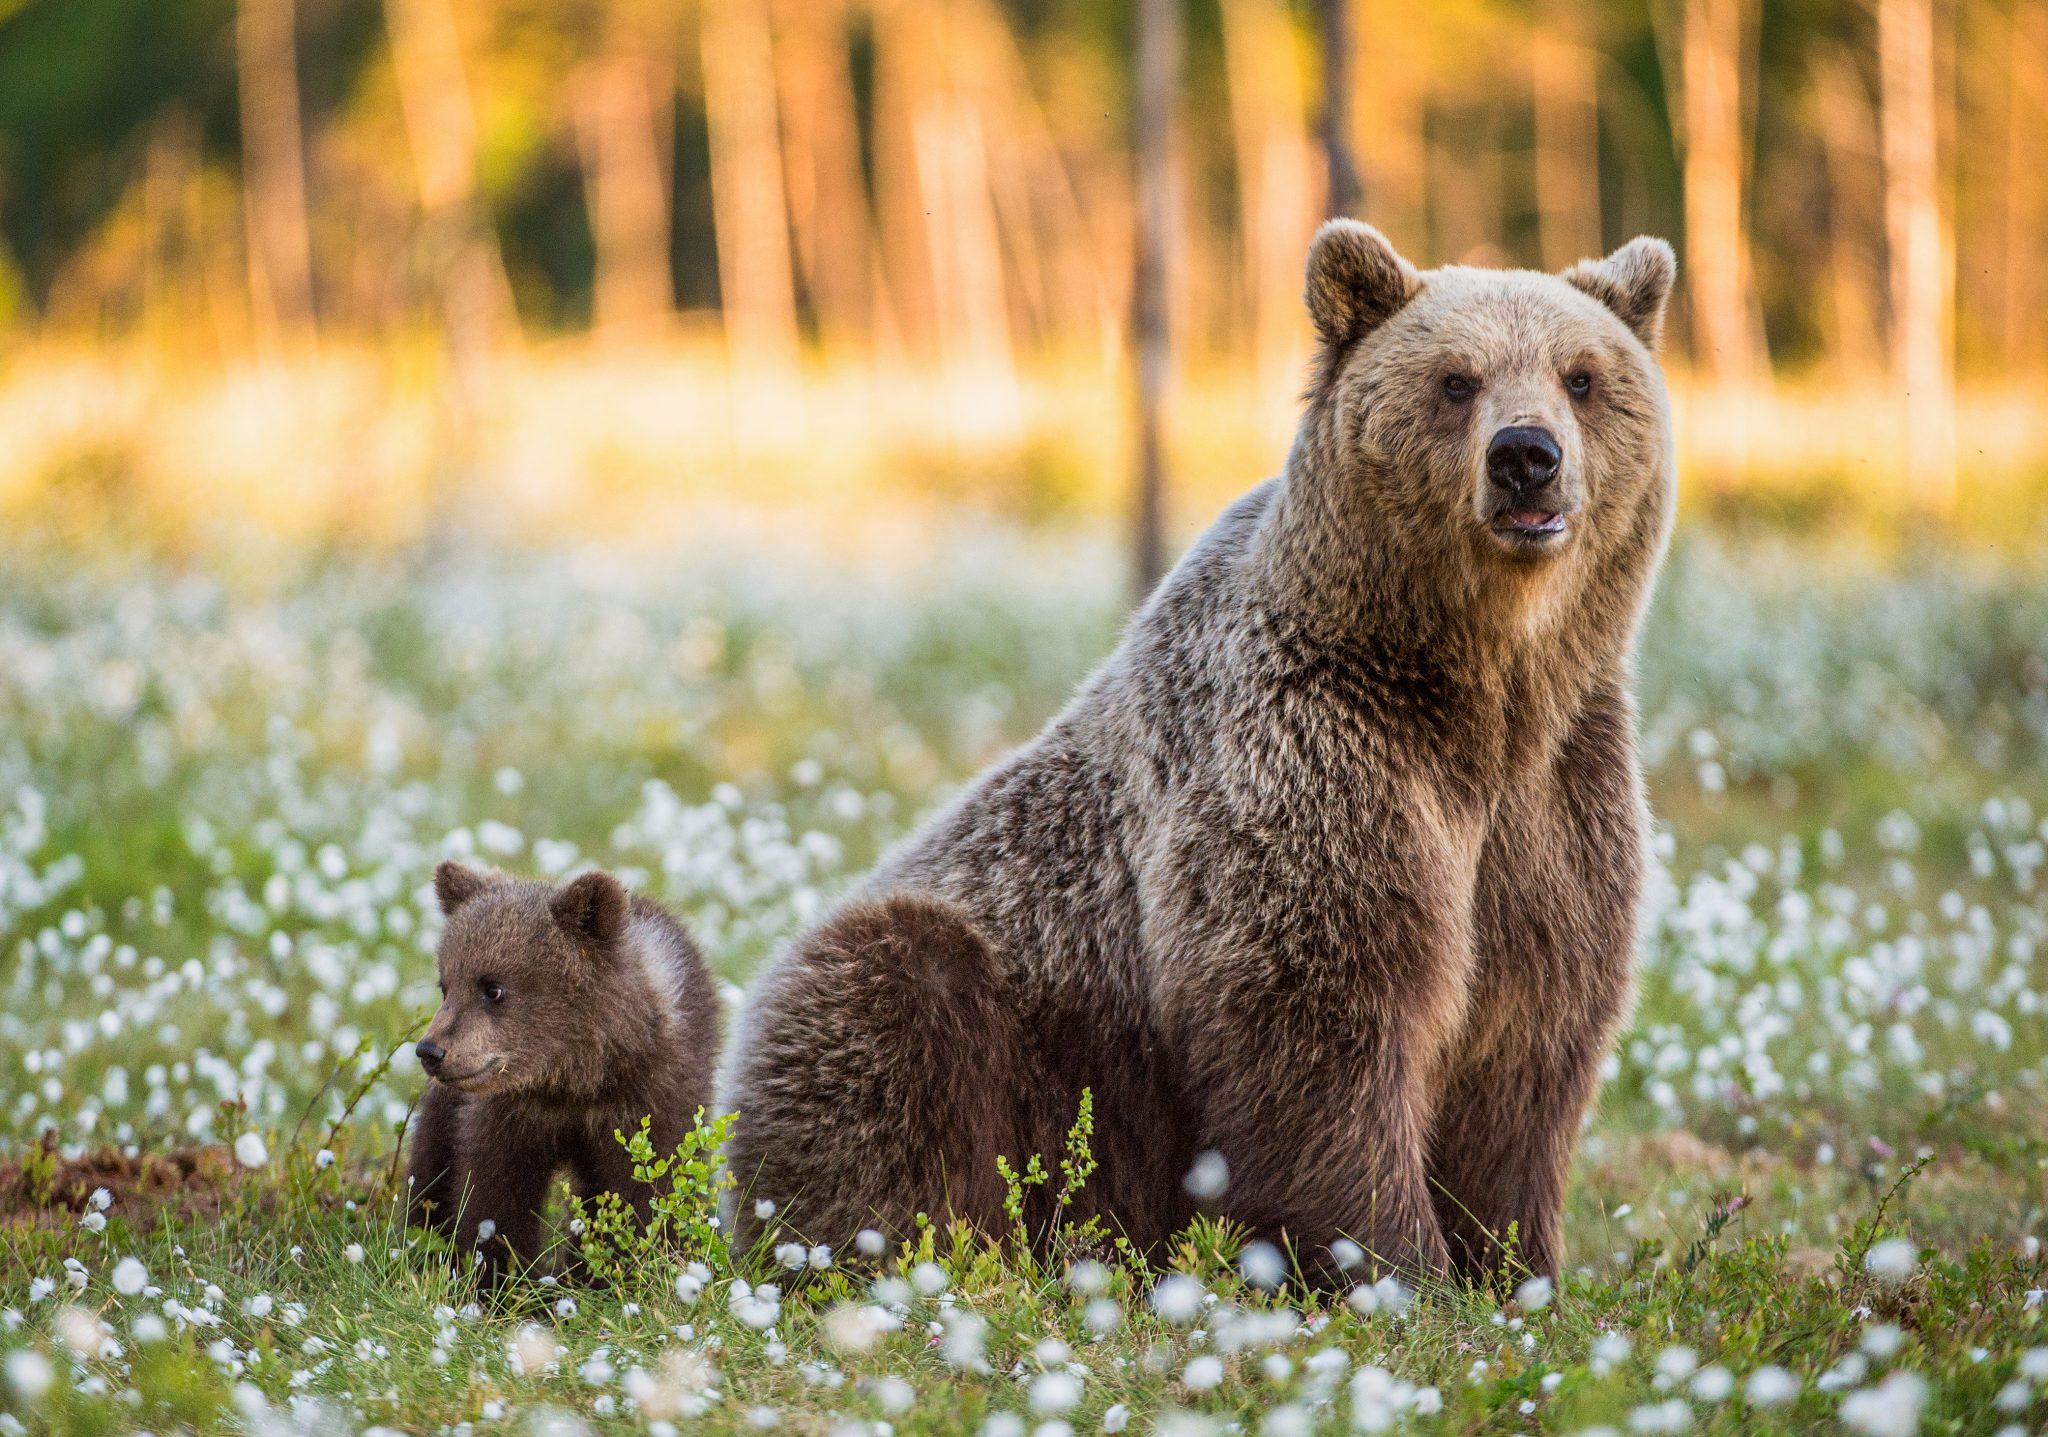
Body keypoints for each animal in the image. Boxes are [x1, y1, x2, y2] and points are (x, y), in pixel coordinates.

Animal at [406, 862, 718, 1287]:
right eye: (446, 985)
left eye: (493, 988)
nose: (430, 1051)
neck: (574, 1079)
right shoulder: (513, 1113)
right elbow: (496, 1190)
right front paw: (499, 1277)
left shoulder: (649, 1097)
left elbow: (647, 1188)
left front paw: (620, 1272)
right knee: (431, 1159)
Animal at [721, 219, 1676, 1286]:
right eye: (1456, 379)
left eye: (1581, 375)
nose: (1526, 457)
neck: (1479, 692)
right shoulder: (1315, 759)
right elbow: (1322, 1023)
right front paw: (1399, 1265)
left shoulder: (1553, 805)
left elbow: (1527, 1049)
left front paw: (1516, 1268)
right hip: (996, 1015)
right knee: (895, 1004)